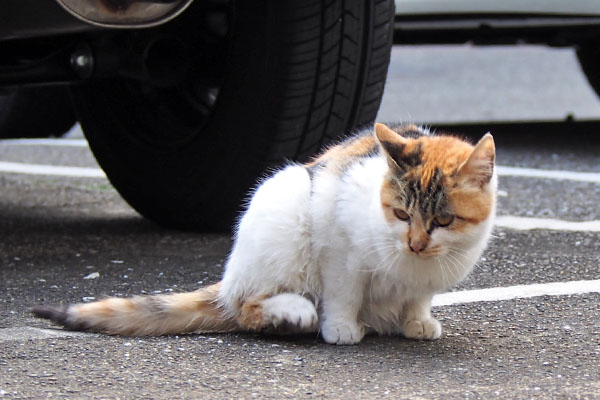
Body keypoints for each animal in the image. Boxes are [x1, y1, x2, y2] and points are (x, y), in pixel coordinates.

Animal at [31, 122, 496, 344]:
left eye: (444, 221)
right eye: (401, 213)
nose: (415, 244)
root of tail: (229, 277)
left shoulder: (426, 276)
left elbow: (418, 297)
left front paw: (417, 321)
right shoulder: (338, 243)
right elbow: (344, 290)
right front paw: (342, 327)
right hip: (284, 203)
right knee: (248, 307)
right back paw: (292, 314)